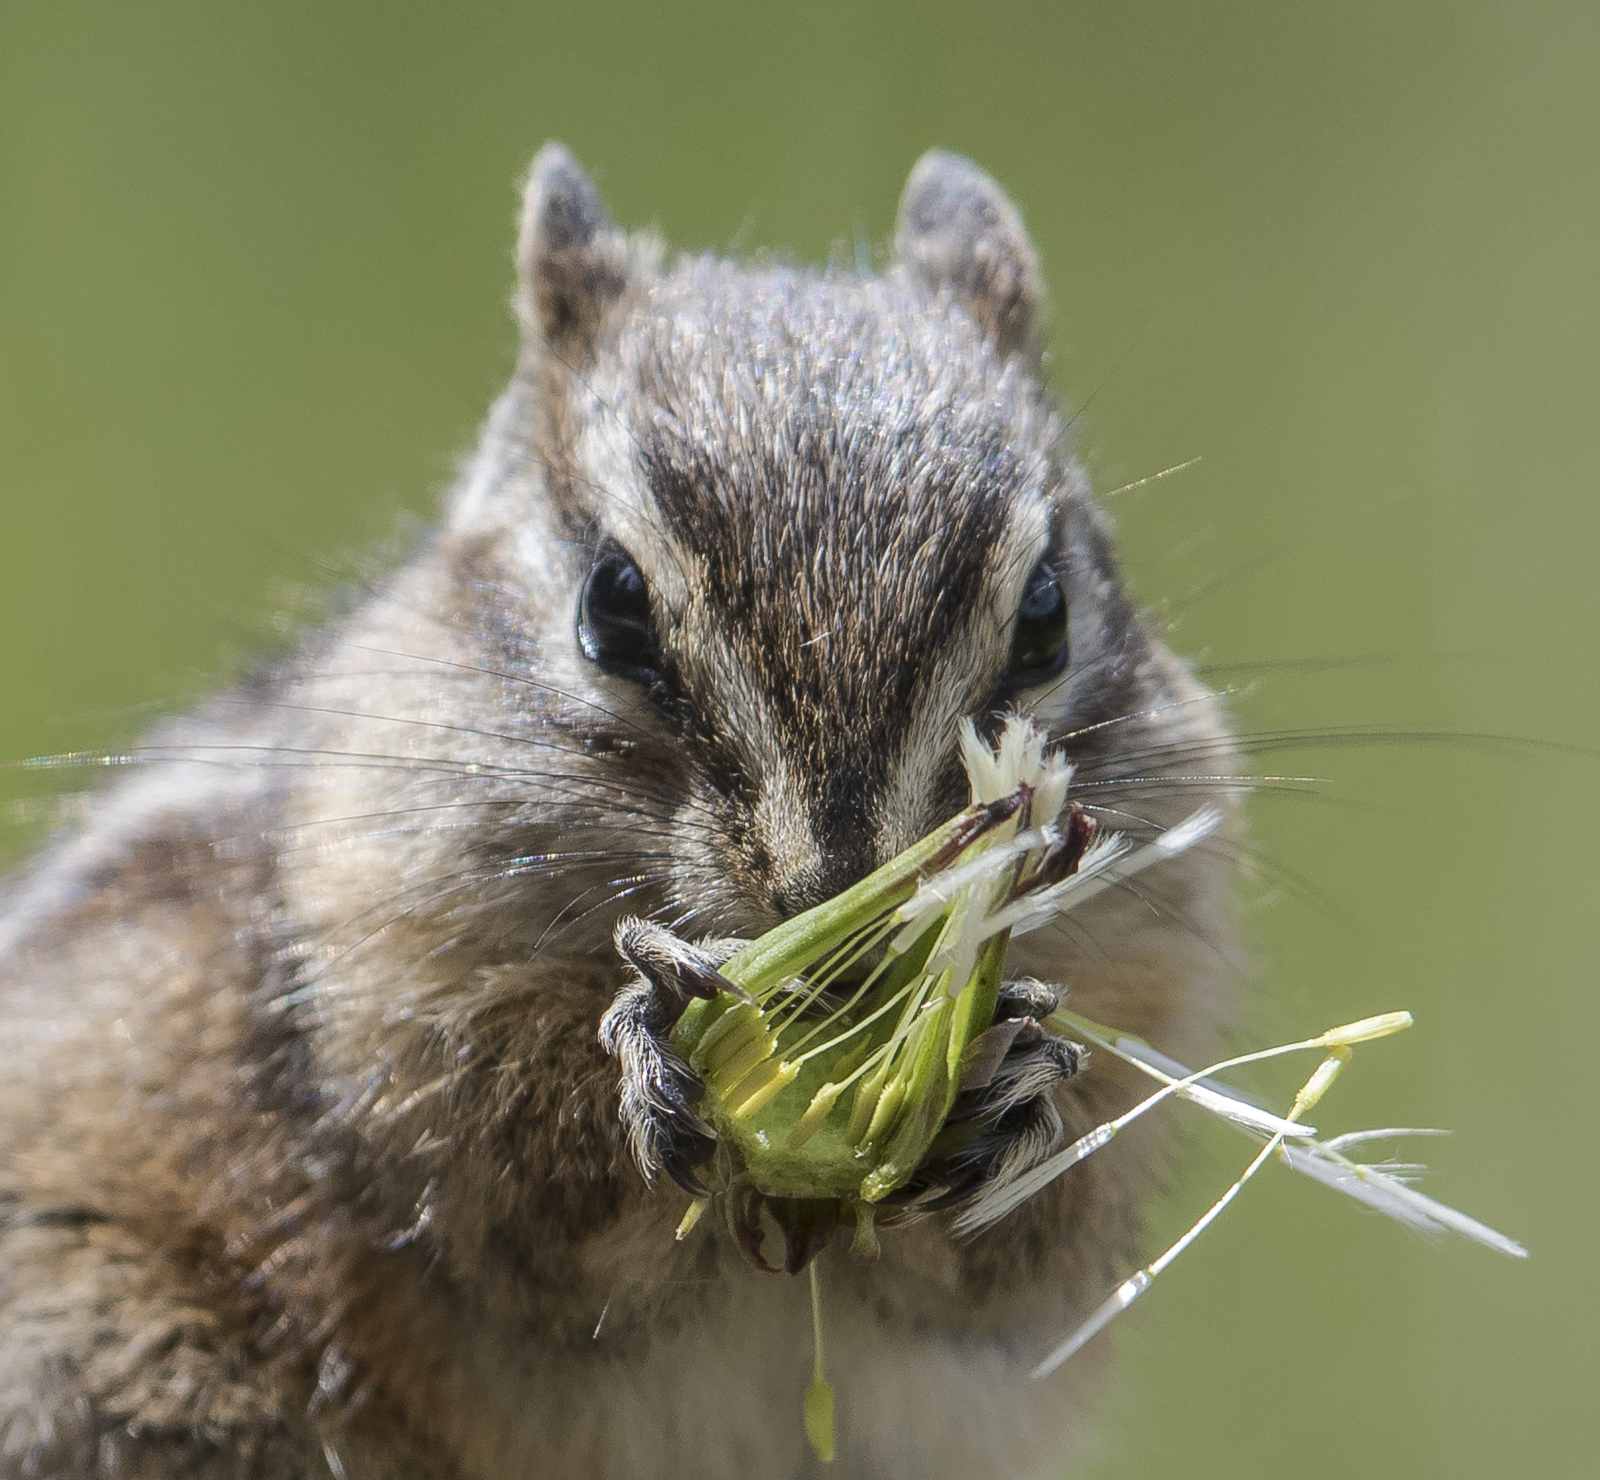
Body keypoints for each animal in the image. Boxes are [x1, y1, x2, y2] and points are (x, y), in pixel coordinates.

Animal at [0, 145, 1239, 1479]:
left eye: (1048, 612)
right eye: (613, 601)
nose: (837, 898)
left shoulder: (1148, 993)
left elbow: (1016, 1262)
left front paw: (1015, 1083)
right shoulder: (377, 1005)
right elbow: (507, 1189)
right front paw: (644, 1037)